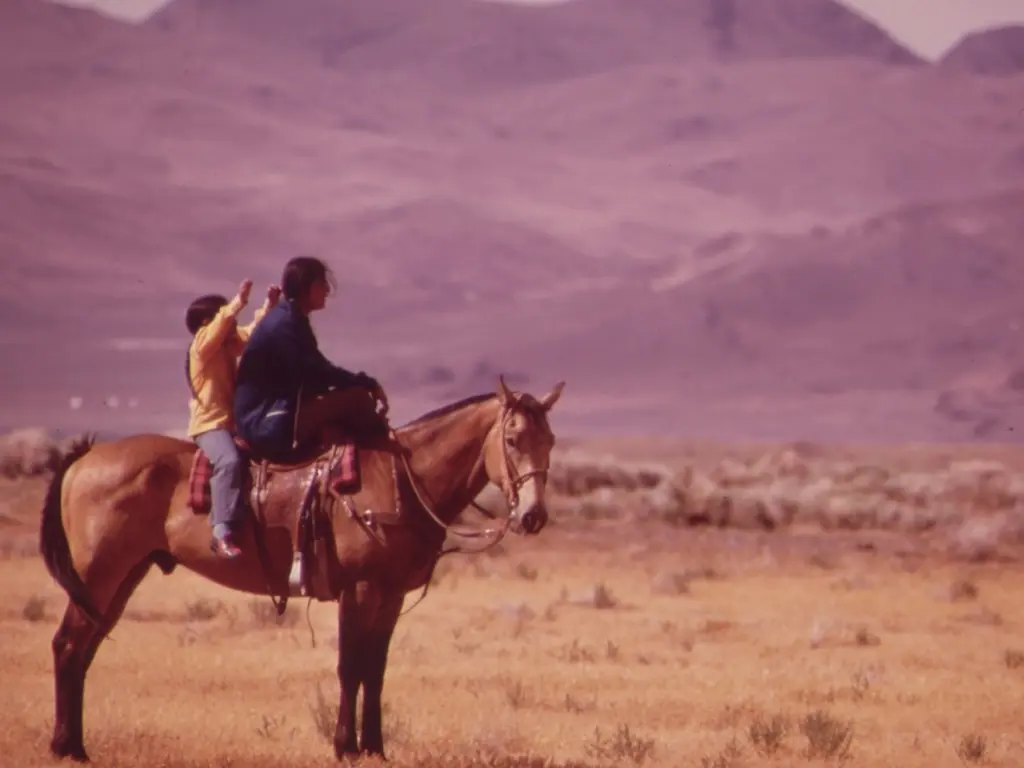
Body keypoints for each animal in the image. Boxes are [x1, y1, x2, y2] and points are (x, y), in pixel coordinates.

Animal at [39, 376, 565, 761]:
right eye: (513, 439)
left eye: (551, 440)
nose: (533, 516)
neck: (397, 480)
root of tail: (86, 456)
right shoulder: (361, 589)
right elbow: (351, 666)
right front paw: (346, 746)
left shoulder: (390, 594)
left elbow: (376, 669)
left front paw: (375, 747)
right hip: (99, 574)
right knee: (67, 645)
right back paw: (67, 749)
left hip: (123, 576)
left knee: (83, 650)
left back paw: (76, 744)